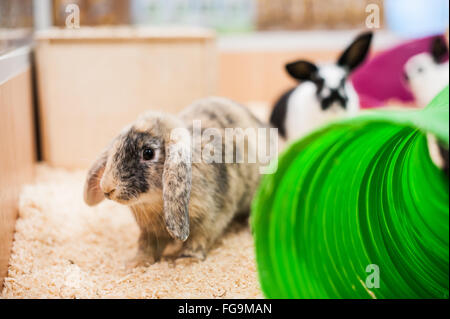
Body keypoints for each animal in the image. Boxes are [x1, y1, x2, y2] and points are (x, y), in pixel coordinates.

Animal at [83, 96, 270, 266]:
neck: (156, 202)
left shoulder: (210, 218)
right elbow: (145, 245)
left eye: (148, 153)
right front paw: (137, 263)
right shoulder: (150, 232)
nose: (107, 188)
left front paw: (186, 261)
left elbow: (198, 239)